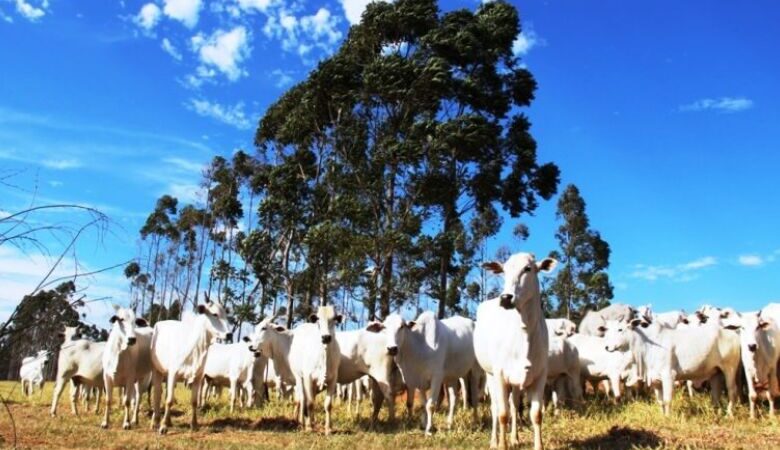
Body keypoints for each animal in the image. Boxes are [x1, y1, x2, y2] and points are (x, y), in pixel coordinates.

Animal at [472, 253, 556, 450]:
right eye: (504, 270)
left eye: (528, 268)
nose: (505, 297)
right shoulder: (500, 375)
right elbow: (503, 414)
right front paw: (502, 445)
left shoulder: (540, 375)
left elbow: (536, 415)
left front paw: (537, 445)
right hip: (490, 375)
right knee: (496, 407)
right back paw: (494, 441)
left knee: (514, 404)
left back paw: (515, 438)